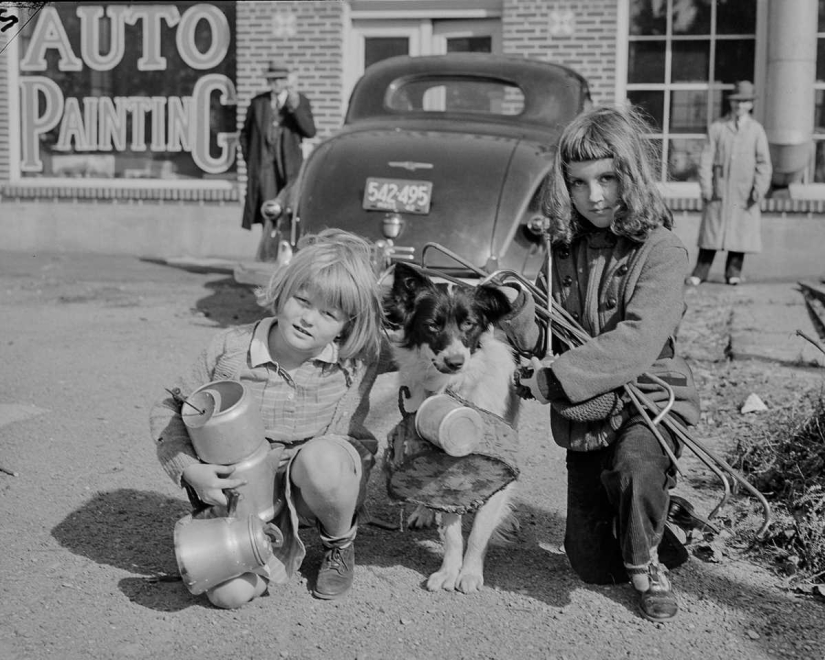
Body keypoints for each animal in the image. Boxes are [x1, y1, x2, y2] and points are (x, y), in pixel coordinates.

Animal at [384, 262, 520, 592]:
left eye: (469, 323)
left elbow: (481, 528)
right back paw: (422, 511)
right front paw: (449, 571)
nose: (455, 361)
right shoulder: (441, 464)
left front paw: (469, 573)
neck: (454, 384)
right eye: (432, 325)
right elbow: (450, 528)